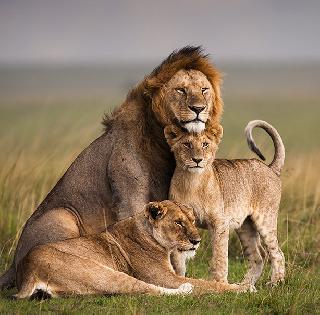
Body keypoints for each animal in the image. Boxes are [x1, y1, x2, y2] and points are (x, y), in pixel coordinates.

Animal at [1, 45, 224, 290]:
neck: (161, 142)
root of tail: (12, 265)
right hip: (61, 215)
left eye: (204, 90)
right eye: (181, 90)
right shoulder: (130, 198)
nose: (198, 109)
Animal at [13, 201, 242, 300]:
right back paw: (186, 289)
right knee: (147, 289)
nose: (197, 241)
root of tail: (28, 270)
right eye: (178, 222)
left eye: (192, 221)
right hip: (100, 272)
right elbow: (207, 284)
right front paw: (241, 287)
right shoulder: (165, 277)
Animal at [165, 121, 284, 288]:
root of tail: (269, 168)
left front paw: (219, 283)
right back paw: (245, 286)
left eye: (205, 144)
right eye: (187, 144)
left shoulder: (219, 223)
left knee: (277, 253)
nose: (197, 160)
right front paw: (179, 280)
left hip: (265, 219)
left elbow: (220, 257)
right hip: (245, 226)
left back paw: (275, 283)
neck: (192, 182)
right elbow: (177, 259)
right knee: (258, 256)